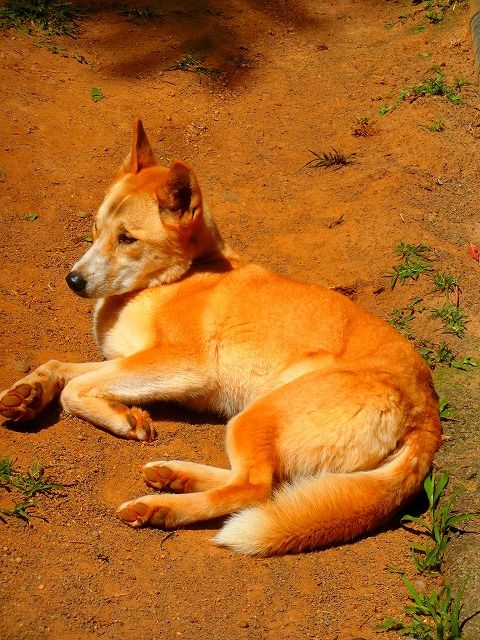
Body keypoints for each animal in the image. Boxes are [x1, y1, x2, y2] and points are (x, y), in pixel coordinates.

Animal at [0, 119, 442, 556]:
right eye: (95, 231)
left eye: (127, 238)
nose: (72, 281)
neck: (179, 276)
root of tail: (426, 414)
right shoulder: (129, 360)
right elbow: (60, 367)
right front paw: (27, 394)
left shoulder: (179, 363)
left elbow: (75, 388)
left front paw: (123, 419)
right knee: (262, 481)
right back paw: (173, 475)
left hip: (258, 414)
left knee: (255, 488)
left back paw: (160, 507)